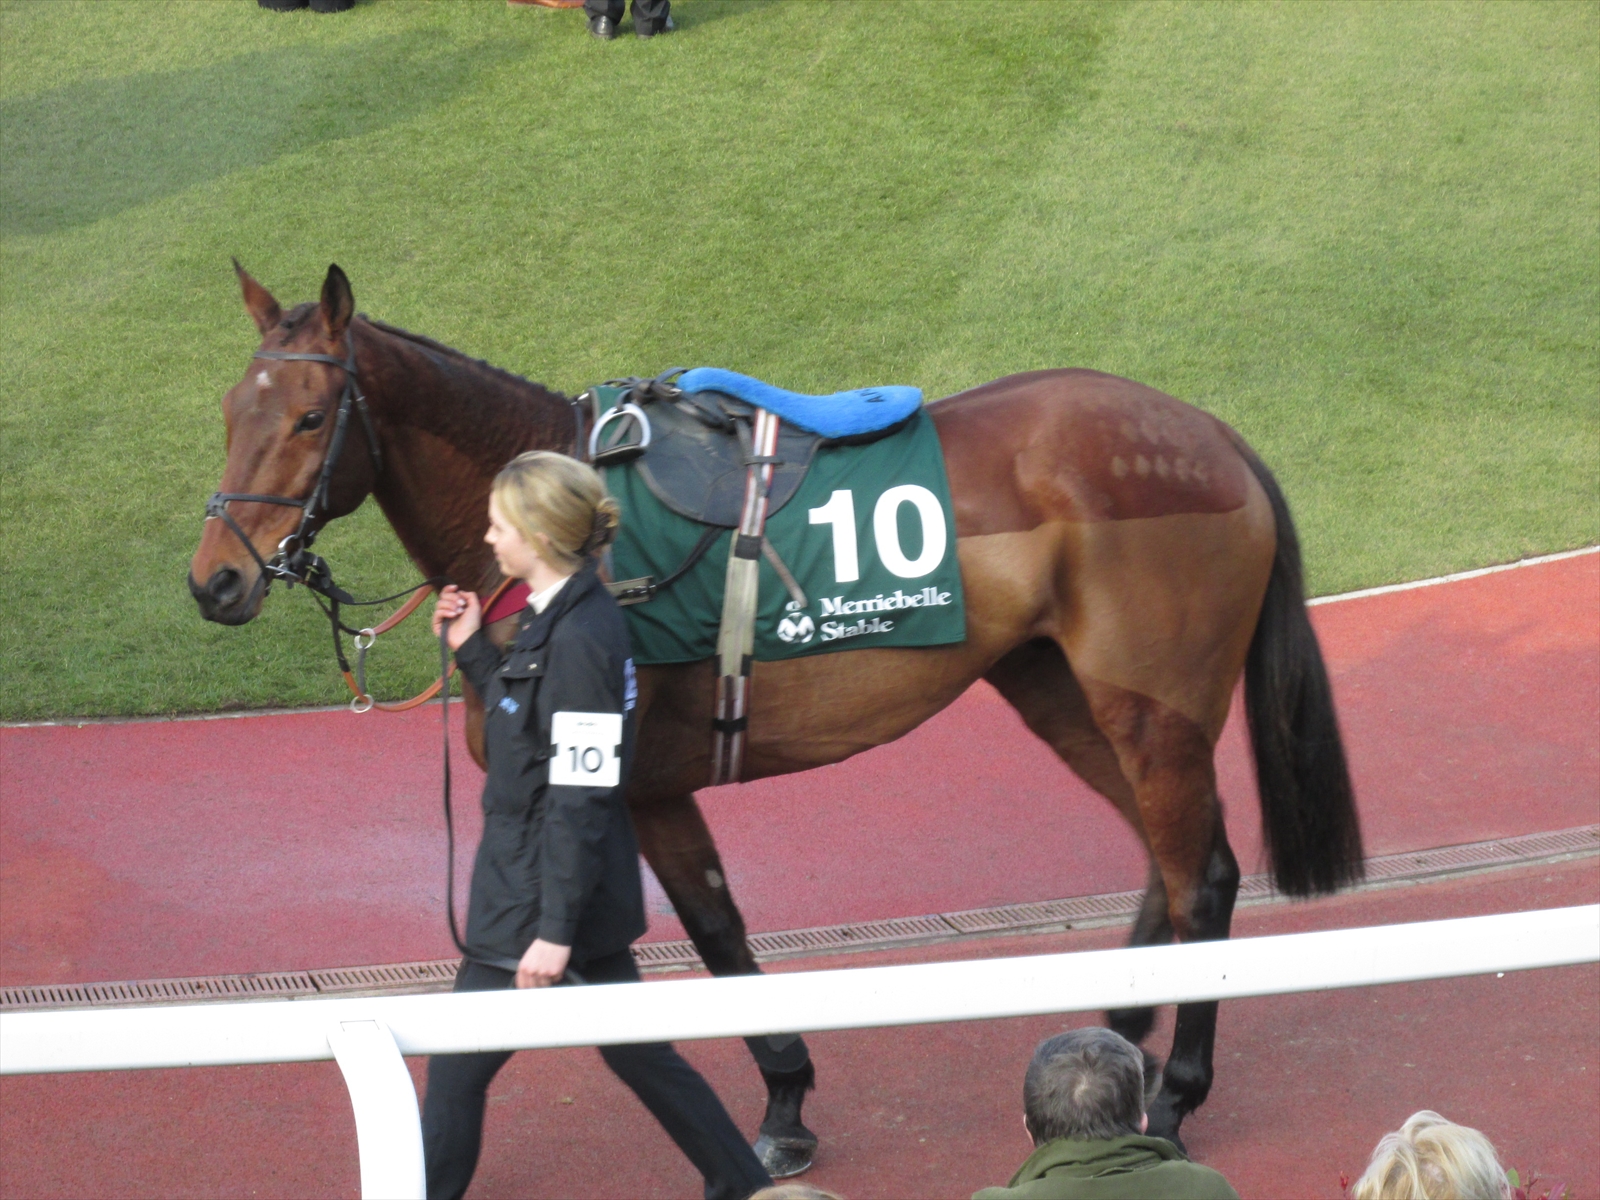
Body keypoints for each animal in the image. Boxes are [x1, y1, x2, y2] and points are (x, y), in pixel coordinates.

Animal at [189, 263, 1363, 1169]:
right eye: (228, 413)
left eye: (309, 418)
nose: (216, 581)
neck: (572, 535)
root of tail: (1214, 436)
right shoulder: (641, 794)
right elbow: (694, 937)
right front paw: (784, 1096)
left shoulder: (633, 782)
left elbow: (704, 938)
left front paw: (783, 1104)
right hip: (1059, 690)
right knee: (1173, 857)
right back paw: (1117, 1029)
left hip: (1149, 703)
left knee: (1203, 872)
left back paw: (1175, 1091)